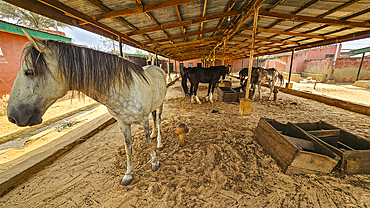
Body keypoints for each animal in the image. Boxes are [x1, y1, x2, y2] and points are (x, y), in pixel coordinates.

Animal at [6, 30, 166, 186]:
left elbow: (147, 142)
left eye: (29, 72)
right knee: (154, 118)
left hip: (161, 104)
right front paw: (128, 174)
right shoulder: (123, 123)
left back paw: (159, 142)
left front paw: (154, 162)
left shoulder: (143, 120)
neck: (124, 89)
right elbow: (128, 149)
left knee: (158, 121)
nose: (12, 117)